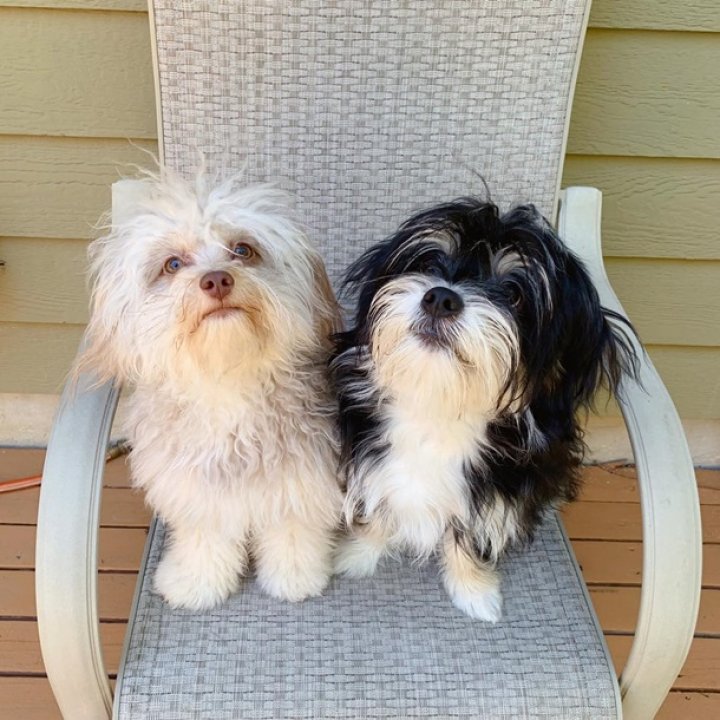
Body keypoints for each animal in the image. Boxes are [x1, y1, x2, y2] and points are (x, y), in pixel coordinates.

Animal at [80, 172, 344, 612]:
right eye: (172, 264)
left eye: (243, 250)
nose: (217, 279)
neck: (227, 381)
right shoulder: (198, 492)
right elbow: (206, 539)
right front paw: (197, 582)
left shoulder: (298, 478)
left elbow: (291, 529)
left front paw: (294, 576)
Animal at [332, 195, 636, 620]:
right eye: (429, 262)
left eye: (513, 293)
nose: (441, 298)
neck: (439, 406)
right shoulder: (370, 459)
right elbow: (380, 505)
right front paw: (358, 553)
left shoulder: (498, 490)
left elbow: (469, 532)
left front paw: (474, 591)